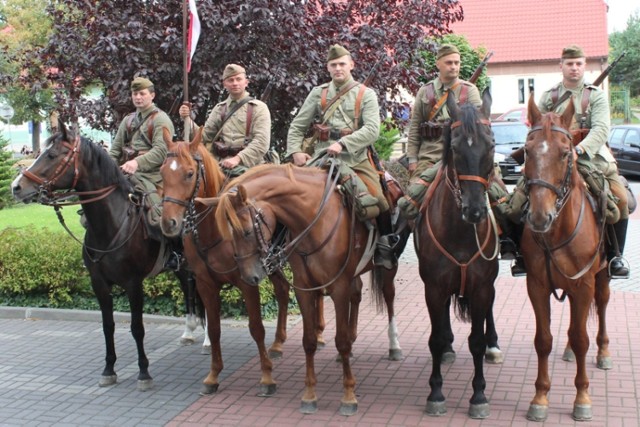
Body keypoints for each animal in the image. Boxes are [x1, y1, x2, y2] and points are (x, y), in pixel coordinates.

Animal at [11, 123, 202, 392]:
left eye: (52, 155)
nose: (16, 187)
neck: (112, 222)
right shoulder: (98, 283)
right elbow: (107, 326)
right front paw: (109, 369)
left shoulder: (134, 284)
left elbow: (137, 327)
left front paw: (144, 372)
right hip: (179, 267)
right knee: (188, 289)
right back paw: (188, 331)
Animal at [160, 128, 300, 398]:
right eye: (162, 172)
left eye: (189, 173)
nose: (169, 223)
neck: (213, 228)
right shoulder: (205, 284)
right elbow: (214, 329)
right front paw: (213, 375)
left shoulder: (247, 282)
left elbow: (256, 327)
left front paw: (266, 377)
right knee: (282, 290)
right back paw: (278, 344)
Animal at [202, 159, 404, 416]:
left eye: (246, 231)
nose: (249, 277)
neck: (313, 218)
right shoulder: (303, 287)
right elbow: (308, 341)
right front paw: (309, 394)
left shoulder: (338, 287)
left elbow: (341, 340)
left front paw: (348, 396)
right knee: (357, 294)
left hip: (388, 268)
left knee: (389, 297)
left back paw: (394, 346)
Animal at [418, 88, 502, 420]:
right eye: (454, 147)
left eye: (491, 144)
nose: (475, 210)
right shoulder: (434, 288)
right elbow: (435, 339)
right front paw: (436, 392)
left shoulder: (481, 287)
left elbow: (476, 341)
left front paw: (478, 396)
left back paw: (494, 345)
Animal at [520, 94, 608, 422]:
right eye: (527, 151)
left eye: (565, 153)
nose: (539, 217)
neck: (556, 233)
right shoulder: (537, 286)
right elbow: (543, 340)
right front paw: (539, 398)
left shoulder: (584, 285)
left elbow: (582, 338)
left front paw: (582, 398)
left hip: (602, 277)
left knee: (602, 307)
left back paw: (603, 352)